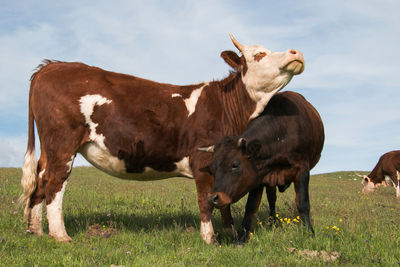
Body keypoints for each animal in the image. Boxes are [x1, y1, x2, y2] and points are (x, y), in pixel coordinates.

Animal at [20, 34, 304, 245]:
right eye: (259, 55)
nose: (296, 53)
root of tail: (52, 65)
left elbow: (223, 198)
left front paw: (231, 234)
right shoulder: (202, 159)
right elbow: (206, 199)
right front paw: (210, 239)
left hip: (49, 147)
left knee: (40, 178)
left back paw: (36, 231)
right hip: (63, 143)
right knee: (54, 181)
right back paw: (60, 235)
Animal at [200, 91, 324, 243]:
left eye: (235, 165)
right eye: (212, 168)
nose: (212, 198)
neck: (280, 135)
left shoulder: (302, 170)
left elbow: (303, 203)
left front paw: (309, 233)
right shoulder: (259, 175)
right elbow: (251, 207)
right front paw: (242, 237)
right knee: (272, 199)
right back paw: (272, 221)